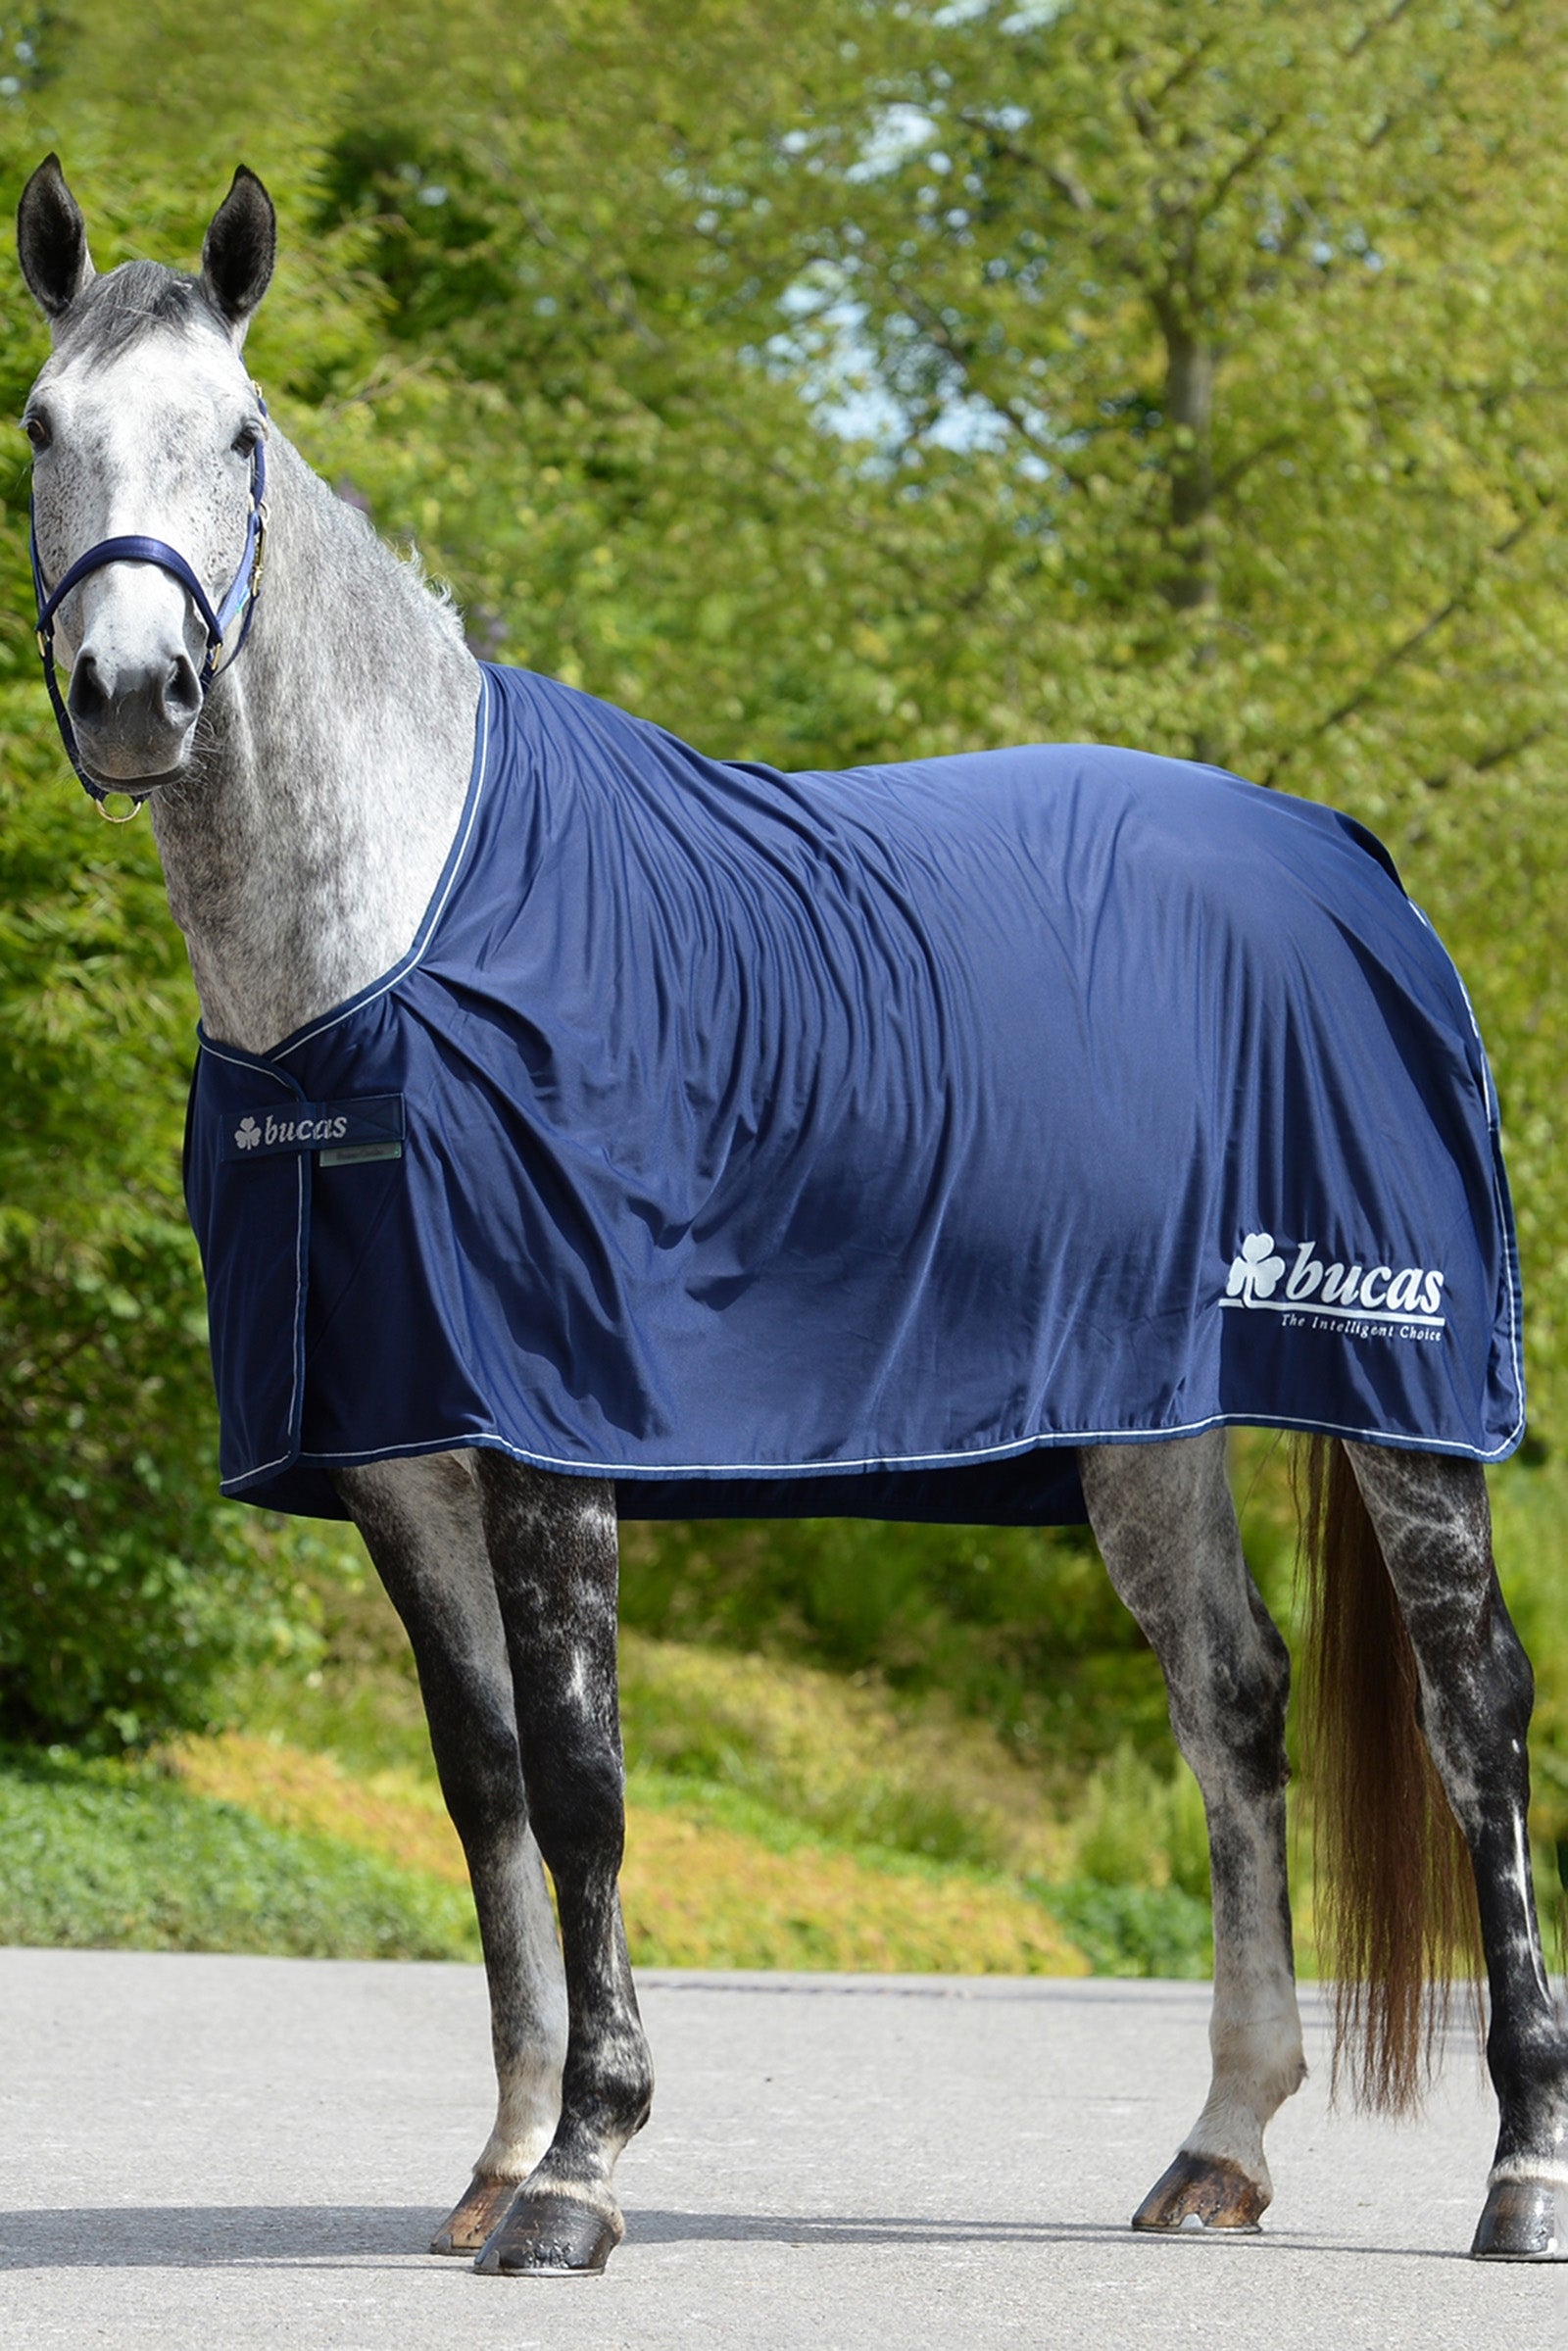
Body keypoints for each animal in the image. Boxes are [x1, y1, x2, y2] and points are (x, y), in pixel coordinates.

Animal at [14, 156, 1566, 2274]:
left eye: (238, 434)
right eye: (41, 428)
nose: (133, 694)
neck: (388, 939)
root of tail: (1345, 860)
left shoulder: (551, 1422)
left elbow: (582, 1777)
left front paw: (580, 2166)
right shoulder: (398, 1442)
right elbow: (483, 1782)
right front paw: (499, 2147)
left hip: (1400, 1397)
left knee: (1474, 1713)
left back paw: (1520, 2167)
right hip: (1145, 1426)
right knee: (1230, 1700)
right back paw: (1219, 2143)